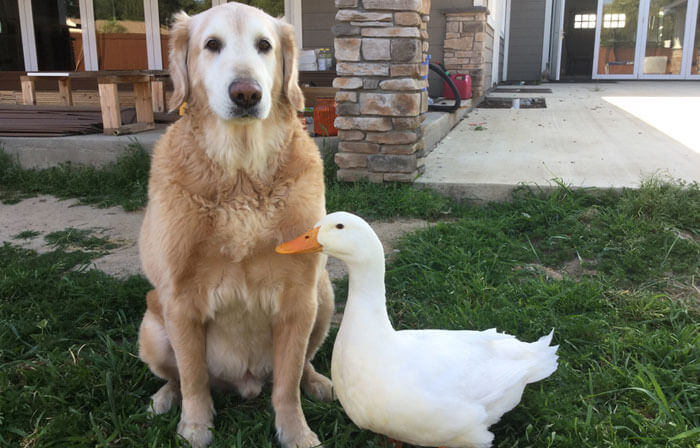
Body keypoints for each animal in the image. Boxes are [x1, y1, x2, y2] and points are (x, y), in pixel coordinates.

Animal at [138, 1, 334, 446]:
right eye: (212, 44)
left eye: (264, 45)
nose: (247, 93)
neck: (241, 174)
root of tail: (244, 382)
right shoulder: (180, 300)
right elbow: (193, 377)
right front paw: (195, 426)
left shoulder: (299, 297)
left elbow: (287, 383)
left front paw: (295, 431)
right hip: (152, 324)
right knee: (176, 376)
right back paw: (164, 398)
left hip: (325, 296)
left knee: (301, 367)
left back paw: (318, 382)